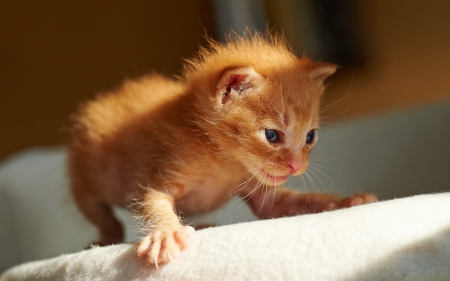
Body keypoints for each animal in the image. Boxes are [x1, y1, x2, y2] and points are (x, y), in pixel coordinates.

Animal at [69, 31, 376, 266]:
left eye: (310, 136)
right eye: (272, 135)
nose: (297, 166)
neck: (222, 158)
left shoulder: (256, 186)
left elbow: (285, 204)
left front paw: (346, 200)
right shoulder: (168, 166)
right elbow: (155, 201)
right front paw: (165, 234)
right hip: (87, 175)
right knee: (101, 213)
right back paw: (105, 240)